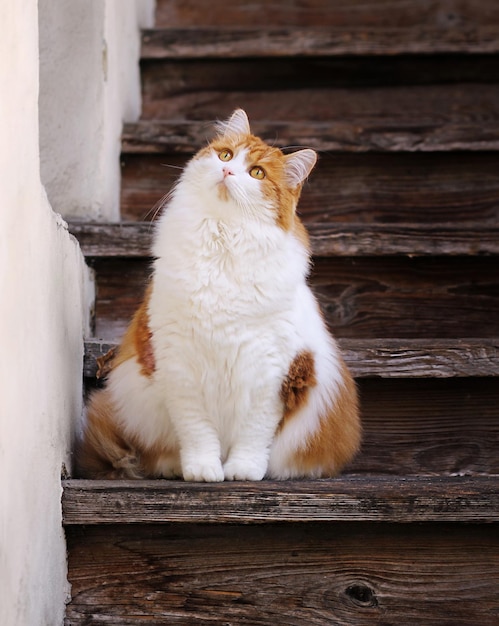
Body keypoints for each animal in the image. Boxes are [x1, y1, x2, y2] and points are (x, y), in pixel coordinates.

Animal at [77, 108, 360, 478]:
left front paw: (242, 470)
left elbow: (254, 435)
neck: (223, 243)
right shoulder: (178, 363)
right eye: (225, 156)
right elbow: (197, 431)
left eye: (257, 173)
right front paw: (202, 469)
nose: (227, 171)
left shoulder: (274, 371)